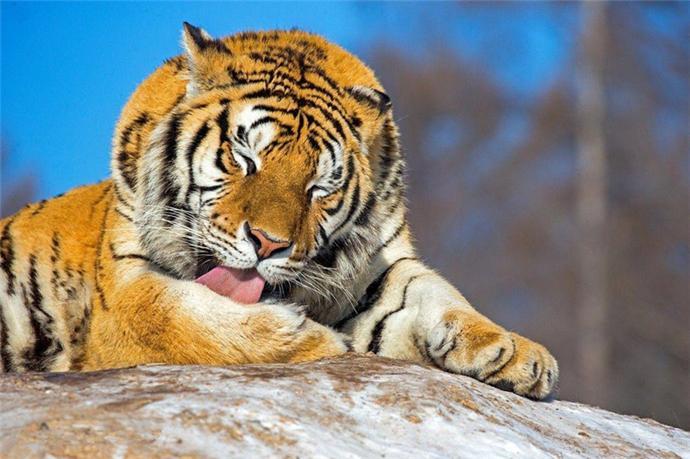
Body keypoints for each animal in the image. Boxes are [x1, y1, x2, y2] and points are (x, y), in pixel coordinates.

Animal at [0, 23, 558, 399]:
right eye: (244, 158)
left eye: (319, 187)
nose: (267, 244)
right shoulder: (124, 285)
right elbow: (179, 320)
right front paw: (312, 340)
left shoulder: (383, 265)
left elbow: (435, 295)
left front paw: (514, 351)